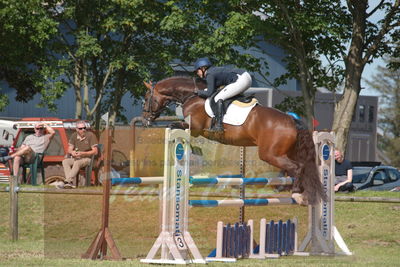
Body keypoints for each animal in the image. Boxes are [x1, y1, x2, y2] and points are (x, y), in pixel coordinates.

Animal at [142, 75, 326, 205]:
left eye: (145, 98)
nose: (145, 120)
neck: (192, 96)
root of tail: (292, 120)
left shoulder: (194, 128)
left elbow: (174, 126)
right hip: (289, 152)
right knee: (303, 168)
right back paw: (305, 194)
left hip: (270, 154)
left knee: (297, 168)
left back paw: (298, 195)